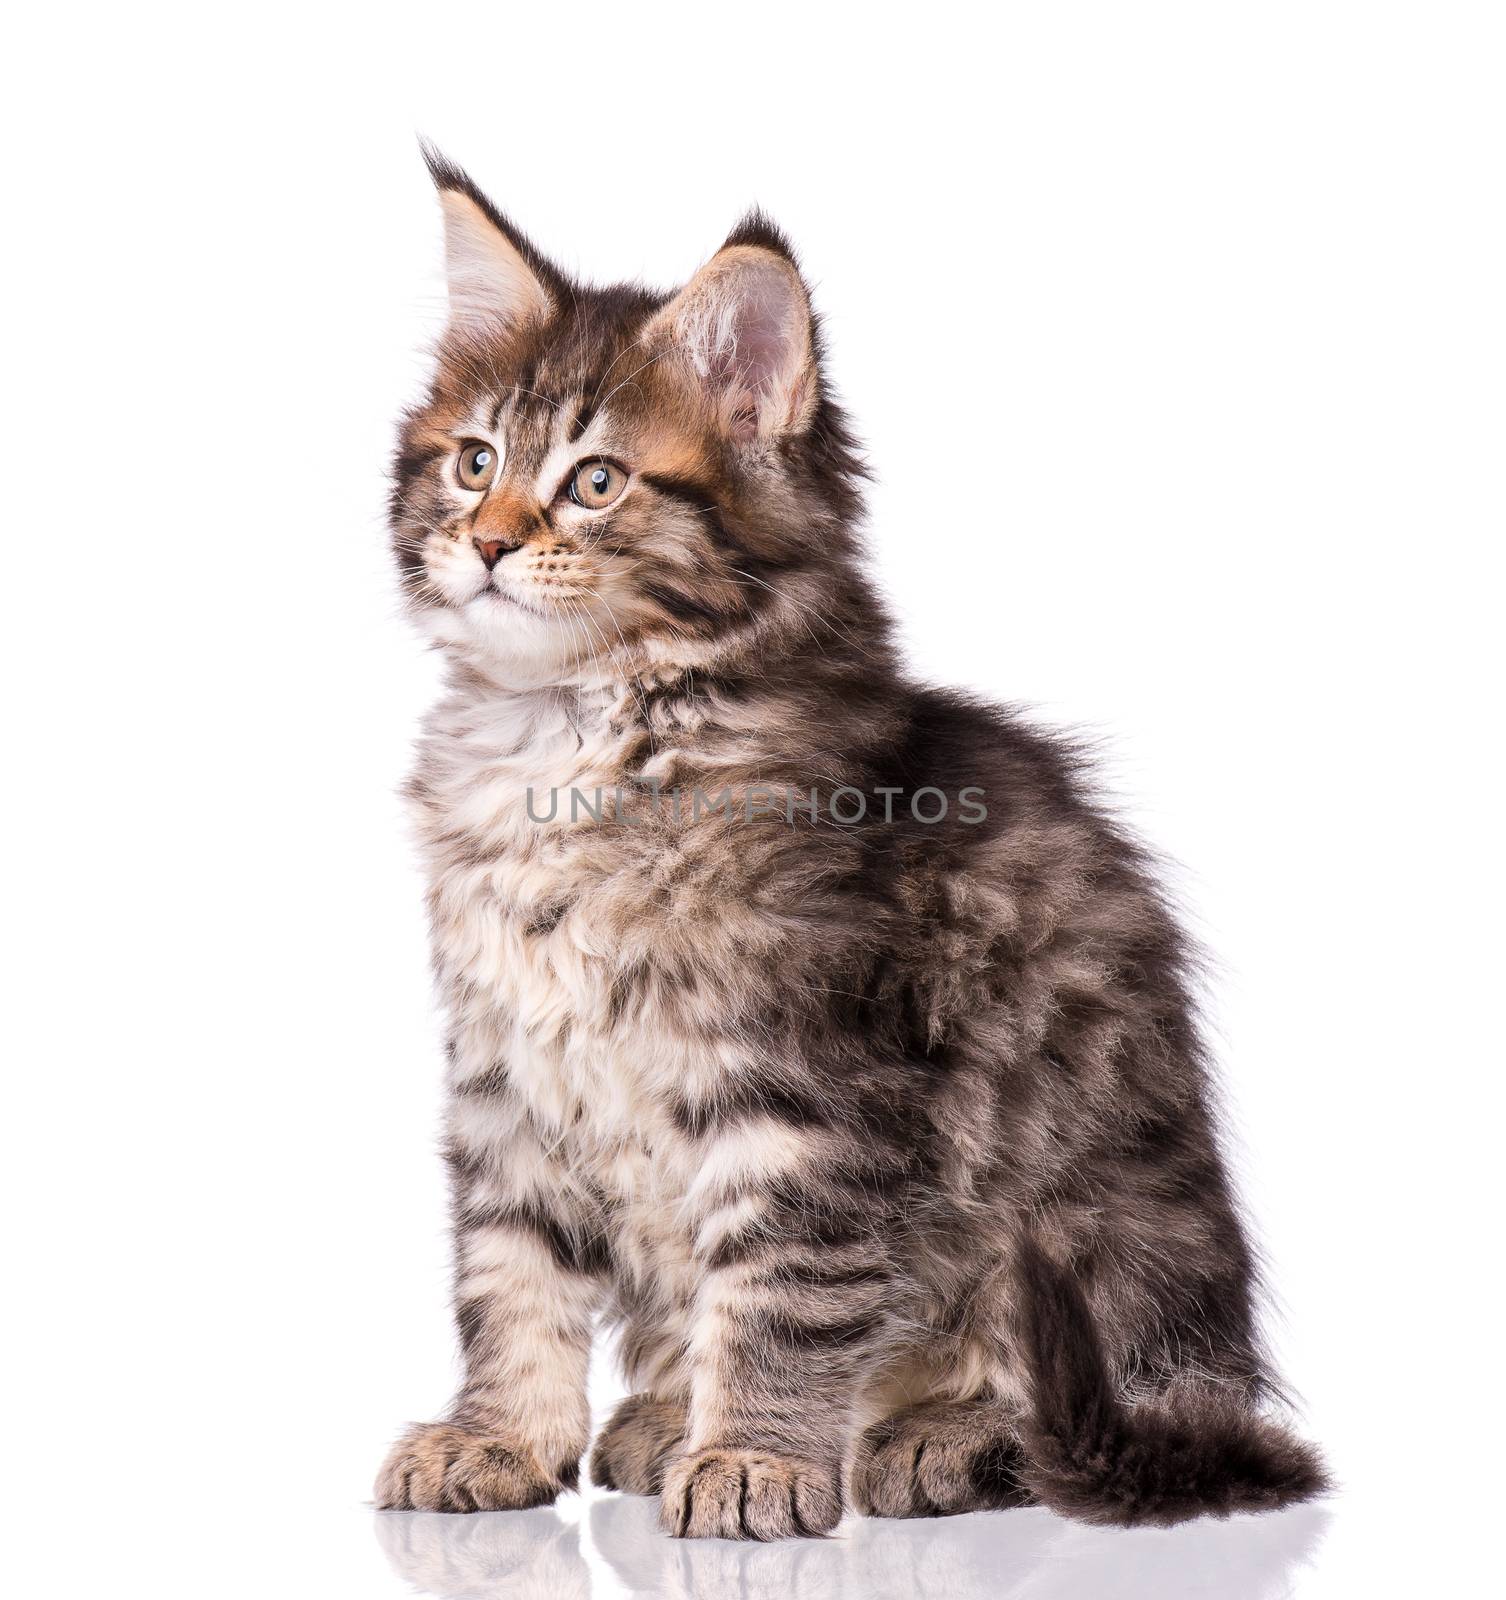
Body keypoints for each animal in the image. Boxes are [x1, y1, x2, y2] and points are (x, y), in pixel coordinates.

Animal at [376, 150, 1325, 1536]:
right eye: (473, 459)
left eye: (596, 481)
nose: (488, 540)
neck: (571, 732)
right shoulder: (506, 1079)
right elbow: (511, 1276)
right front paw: (499, 1436)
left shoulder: (807, 1087)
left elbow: (781, 1293)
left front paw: (757, 1460)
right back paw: (661, 1418)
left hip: (1092, 1245)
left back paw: (937, 1435)